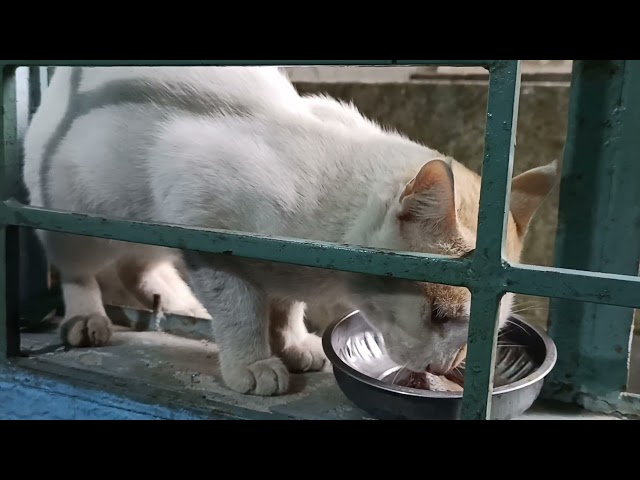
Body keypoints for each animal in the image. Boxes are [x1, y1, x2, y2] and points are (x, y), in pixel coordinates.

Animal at [23, 67, 556, 398]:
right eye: (441, 315)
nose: (444, 369)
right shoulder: (200, 220)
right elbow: (241, 308)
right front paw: (254, 362)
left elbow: (284, 303)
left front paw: (294, 342)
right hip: (81, 216)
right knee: (79, 268)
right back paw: (87, 316)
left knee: (141, 264)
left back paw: (174, 299)